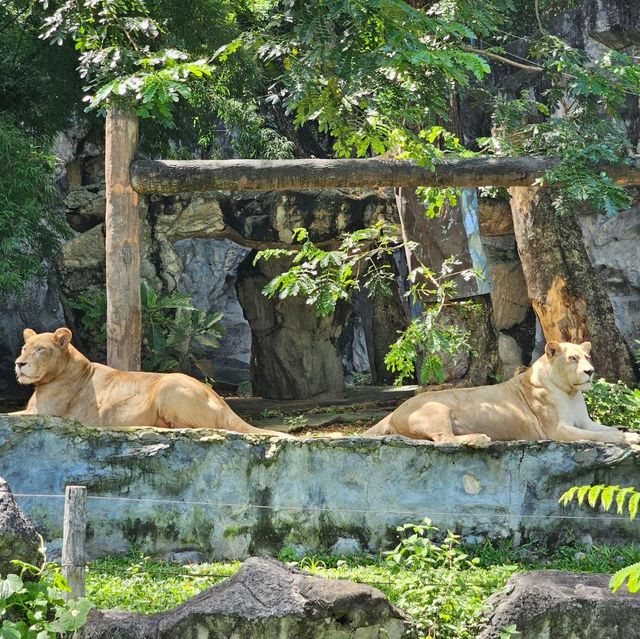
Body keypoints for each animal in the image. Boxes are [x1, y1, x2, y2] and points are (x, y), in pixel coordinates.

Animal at [10, 328, 288, 438]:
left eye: (41, 350)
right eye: (24, 347)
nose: (19, 363)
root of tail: (221, 401)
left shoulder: (45, 413)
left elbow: (8, 415)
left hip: (170, 386)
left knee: (197, 428)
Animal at [364, 340, 640, 444]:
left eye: (587, 357)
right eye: (572, 358)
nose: (590, 372)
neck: (570, 392)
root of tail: (393, 412)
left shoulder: (584, 421)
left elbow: (605, 428)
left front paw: (630, 435)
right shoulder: (556, 430)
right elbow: (603, 435)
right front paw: (622, 437)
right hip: (436, 408)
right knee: (444, 439)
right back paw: (478, 439)